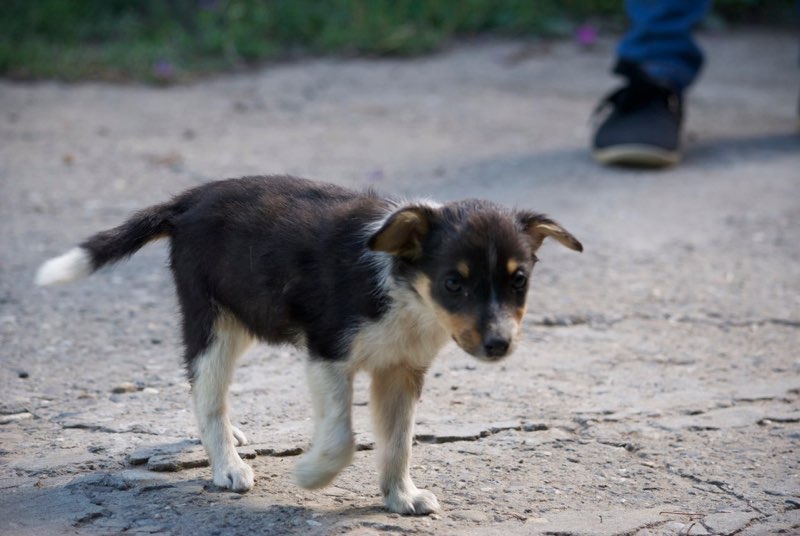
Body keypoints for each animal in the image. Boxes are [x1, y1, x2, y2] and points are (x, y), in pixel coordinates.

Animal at [36, 176, 580, 516]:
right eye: (454, 282)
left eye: (519, 281)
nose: (499, 345)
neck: (406, 291)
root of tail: (187, 201)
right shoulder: (327, 353)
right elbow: (342, 437)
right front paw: (311, 476)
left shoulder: (401, 370)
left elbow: (398, 442)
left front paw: (400, 498)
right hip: (214, 322)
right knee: (205, 393)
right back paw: (227, 467)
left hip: (242, 318)